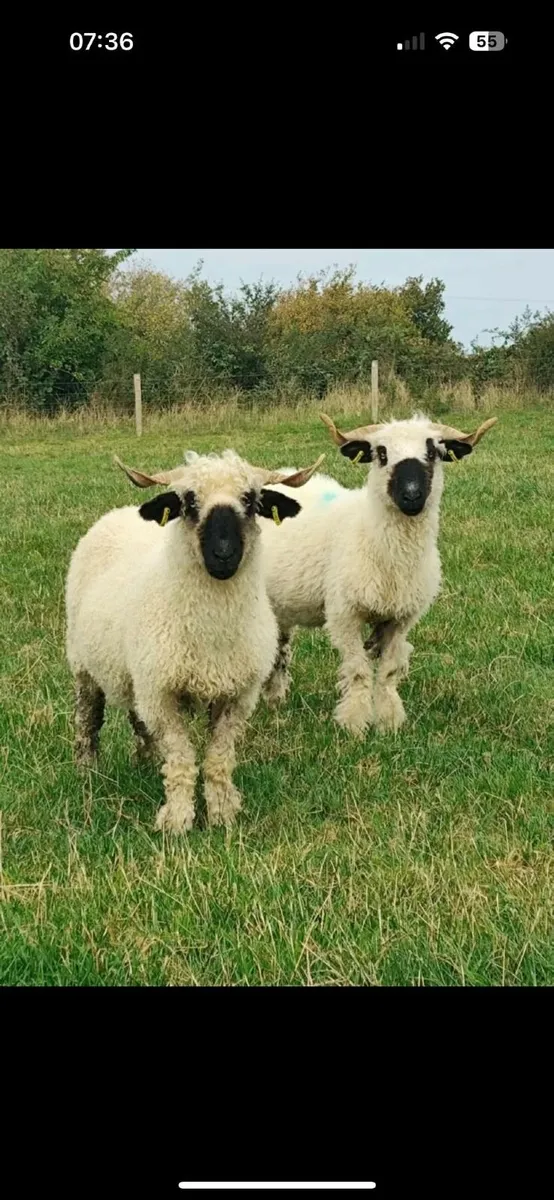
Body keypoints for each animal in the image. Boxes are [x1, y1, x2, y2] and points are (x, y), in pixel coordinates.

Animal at [65, 447, 324, 833]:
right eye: (189, 501)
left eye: (250, 500)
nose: (224, 554)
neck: (211, 635)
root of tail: (120, 512)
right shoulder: (162, 696)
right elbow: (182, 759)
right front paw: (176, 821)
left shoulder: (237, 695)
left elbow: (218, 759)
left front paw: (222, 814)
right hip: (84, 665)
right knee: (88, 719)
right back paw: (87, 772)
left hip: (137, 673)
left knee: (137, 720)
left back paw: (145, 763)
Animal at [257, 412, 497, 736]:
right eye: (381, 454)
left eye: (433, 452)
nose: (412, 495)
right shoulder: (344, 614)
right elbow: (358, 671)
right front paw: (354, 725)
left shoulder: (401, 619)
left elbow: (388, 672)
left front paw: (388, 723)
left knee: (281, 647)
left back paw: (275, 697)